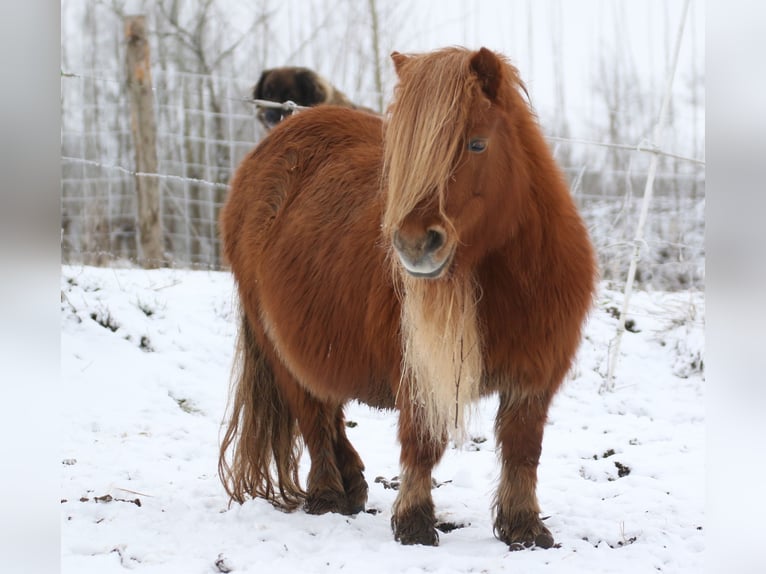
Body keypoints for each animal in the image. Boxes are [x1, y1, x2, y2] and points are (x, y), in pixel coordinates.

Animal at [219, 47, 596, 552]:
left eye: (477, 145)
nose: (415, 244)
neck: (512, 280)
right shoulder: (419, 369)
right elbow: (422, 444)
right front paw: (415, 524)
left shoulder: (536, 375)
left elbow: (523, 448)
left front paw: (525, 527)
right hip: (277, 344)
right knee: (312, 413)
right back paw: (328, 494)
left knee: (329, 410)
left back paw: (352, 485)